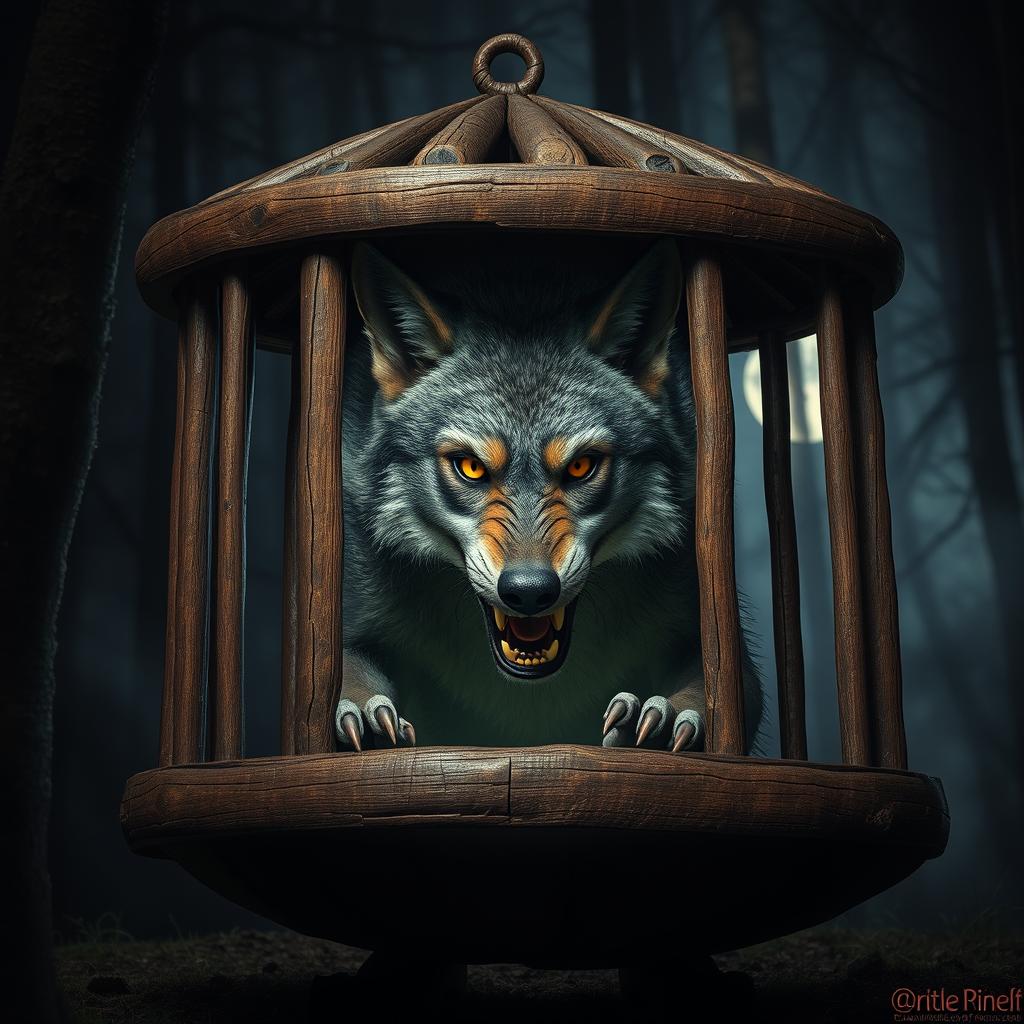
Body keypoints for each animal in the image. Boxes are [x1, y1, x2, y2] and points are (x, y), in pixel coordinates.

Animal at [334, 234, 763, 753]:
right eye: (471, 467)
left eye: (580, 466)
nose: (529, 591)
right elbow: (346, 671)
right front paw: (362, 713)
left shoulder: (723, 653)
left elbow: (711, 693)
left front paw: (663, 719)